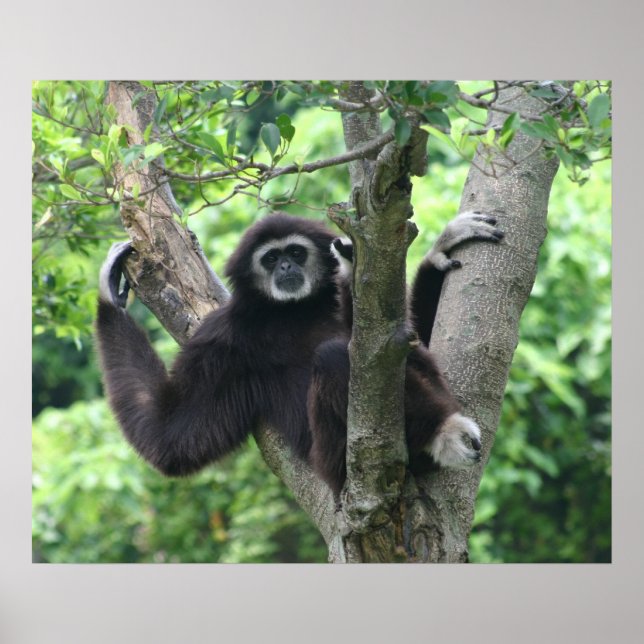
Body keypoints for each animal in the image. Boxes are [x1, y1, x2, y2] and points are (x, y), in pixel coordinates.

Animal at [95, 211, 503, 499]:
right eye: (270, 258)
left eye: (295, 252)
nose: (286, 266)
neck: (295, 309)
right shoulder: (221, 339)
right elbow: (169, 437)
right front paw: (110, 296)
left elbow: (400, 339)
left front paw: (437, 253)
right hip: (334, 460)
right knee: (335, 357)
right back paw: (443, 433)